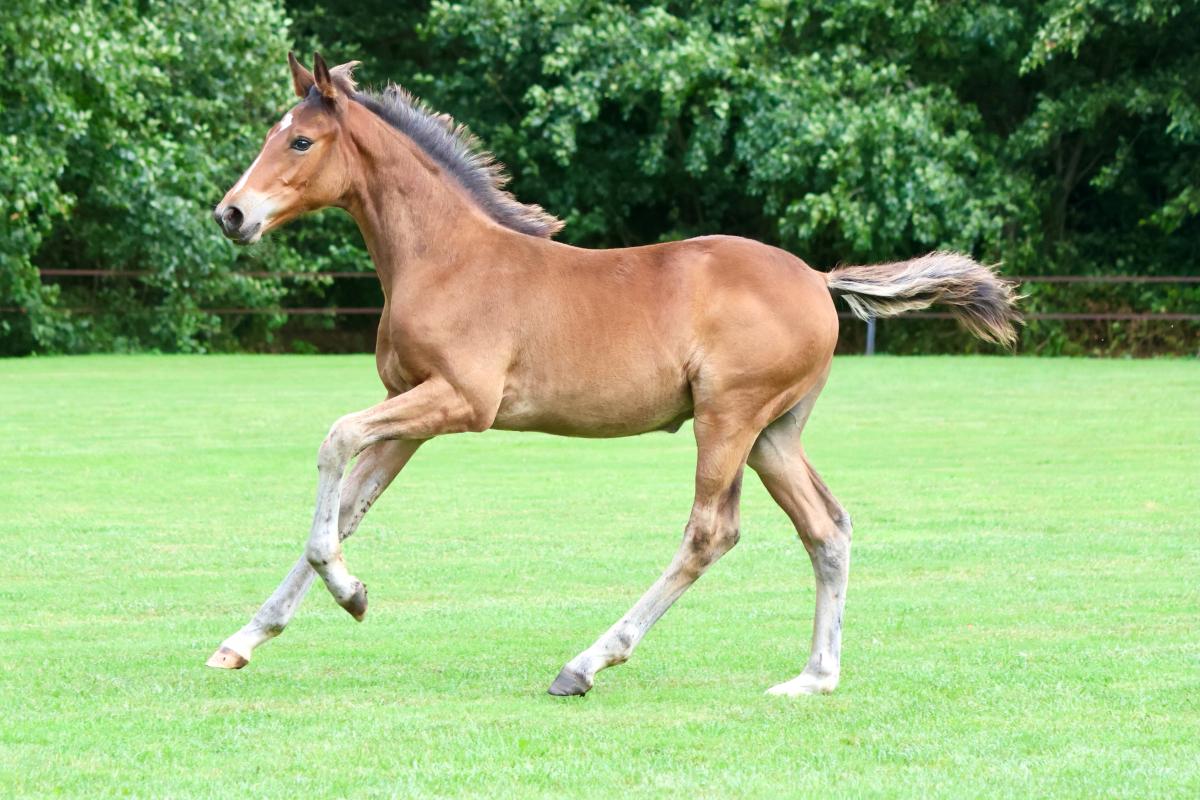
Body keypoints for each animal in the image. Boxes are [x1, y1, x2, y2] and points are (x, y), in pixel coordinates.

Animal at [207, 53, 1020, 697]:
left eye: (301, 139)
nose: (232, 215)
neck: (445, 257)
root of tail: (819, 280)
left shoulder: (458, 402)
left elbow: (334, 445)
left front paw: (350, 593)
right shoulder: (409, 406)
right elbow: (348, 508)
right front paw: (248, 638)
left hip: (727, 420)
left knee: (711, 533)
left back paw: (586, 663)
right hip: (772, 434)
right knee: (827, 527)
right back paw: (813, 677)